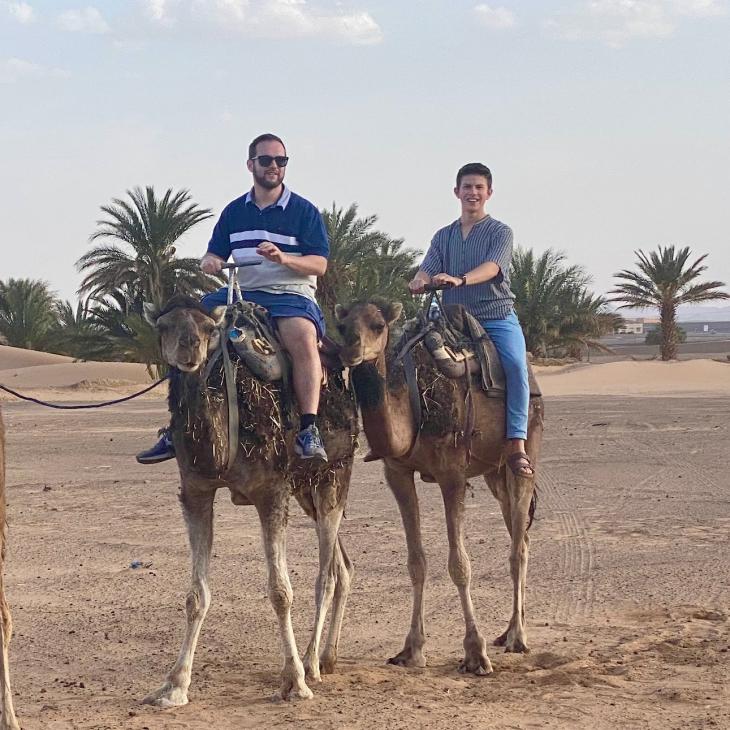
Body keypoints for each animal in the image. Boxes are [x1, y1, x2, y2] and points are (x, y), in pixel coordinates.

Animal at [141, 296, 356, 700]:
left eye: (209, 329)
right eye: (163, 326)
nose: (189, 347)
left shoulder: (271, 492)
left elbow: (280, 591)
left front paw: (294, 681)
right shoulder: (196, 491)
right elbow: (195, 595)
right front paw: (174, 685)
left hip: (335, 475)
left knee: (326, 575)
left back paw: (311, 664)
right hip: (305, 490)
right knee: (343, 566)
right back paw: (329, 657)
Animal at [334, 298, 540, 672]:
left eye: (377, 325)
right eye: (341, 326)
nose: (350, 349)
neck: (414, 406)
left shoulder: (452, 473)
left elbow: (459, 564)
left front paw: (475, 653)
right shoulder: (397, 473)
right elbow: (416, 562)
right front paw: (411, 649)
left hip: (526, 450)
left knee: (518, 547)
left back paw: (517, 638)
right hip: (494, 473)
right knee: (523, 539)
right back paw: (506, 631)